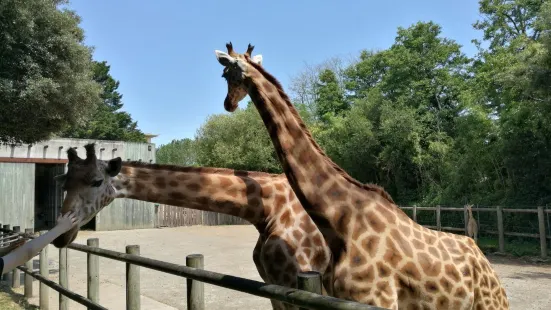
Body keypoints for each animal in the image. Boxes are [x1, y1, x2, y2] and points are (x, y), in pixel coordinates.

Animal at [52, 144, 332, 310]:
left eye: (97, 181)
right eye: (64, 183)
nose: (61, 235)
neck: (267, 209)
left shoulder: (297, 279)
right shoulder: (274, 286)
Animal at [213, 43, 512, 310]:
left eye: (228, 73)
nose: (228, 104)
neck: (339, 221)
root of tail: (486, 263)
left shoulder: (376, 299)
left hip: (491, 304)